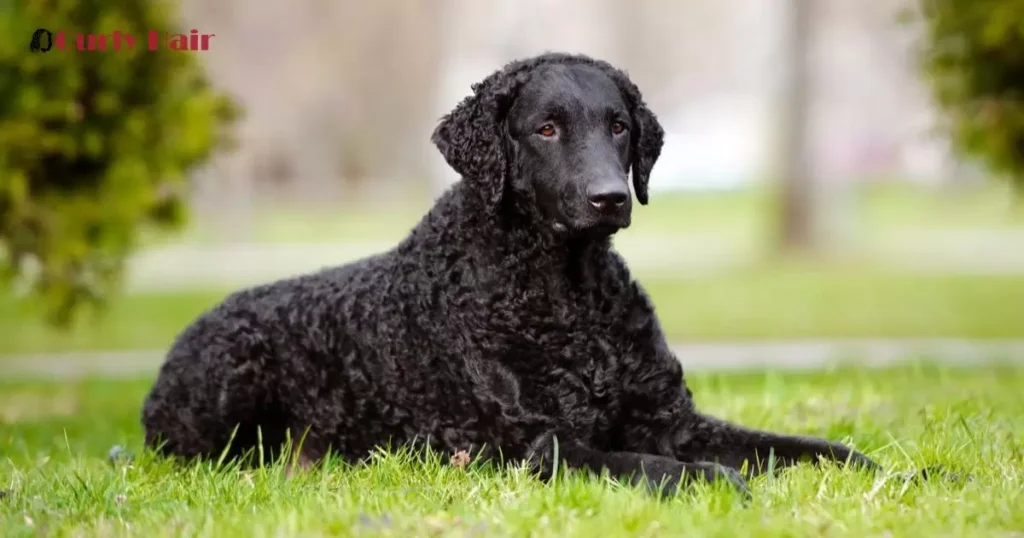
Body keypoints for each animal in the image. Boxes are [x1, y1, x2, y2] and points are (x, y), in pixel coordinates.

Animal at [142, 54, 880, 495]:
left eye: (619, 126)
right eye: (546, 128)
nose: (611, 198)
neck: (569, 297)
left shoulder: (674, 419)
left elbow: (805, 448)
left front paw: (895, 472)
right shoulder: (535, 444)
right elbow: (651, 464)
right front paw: (716, 481)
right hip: (232, 373)